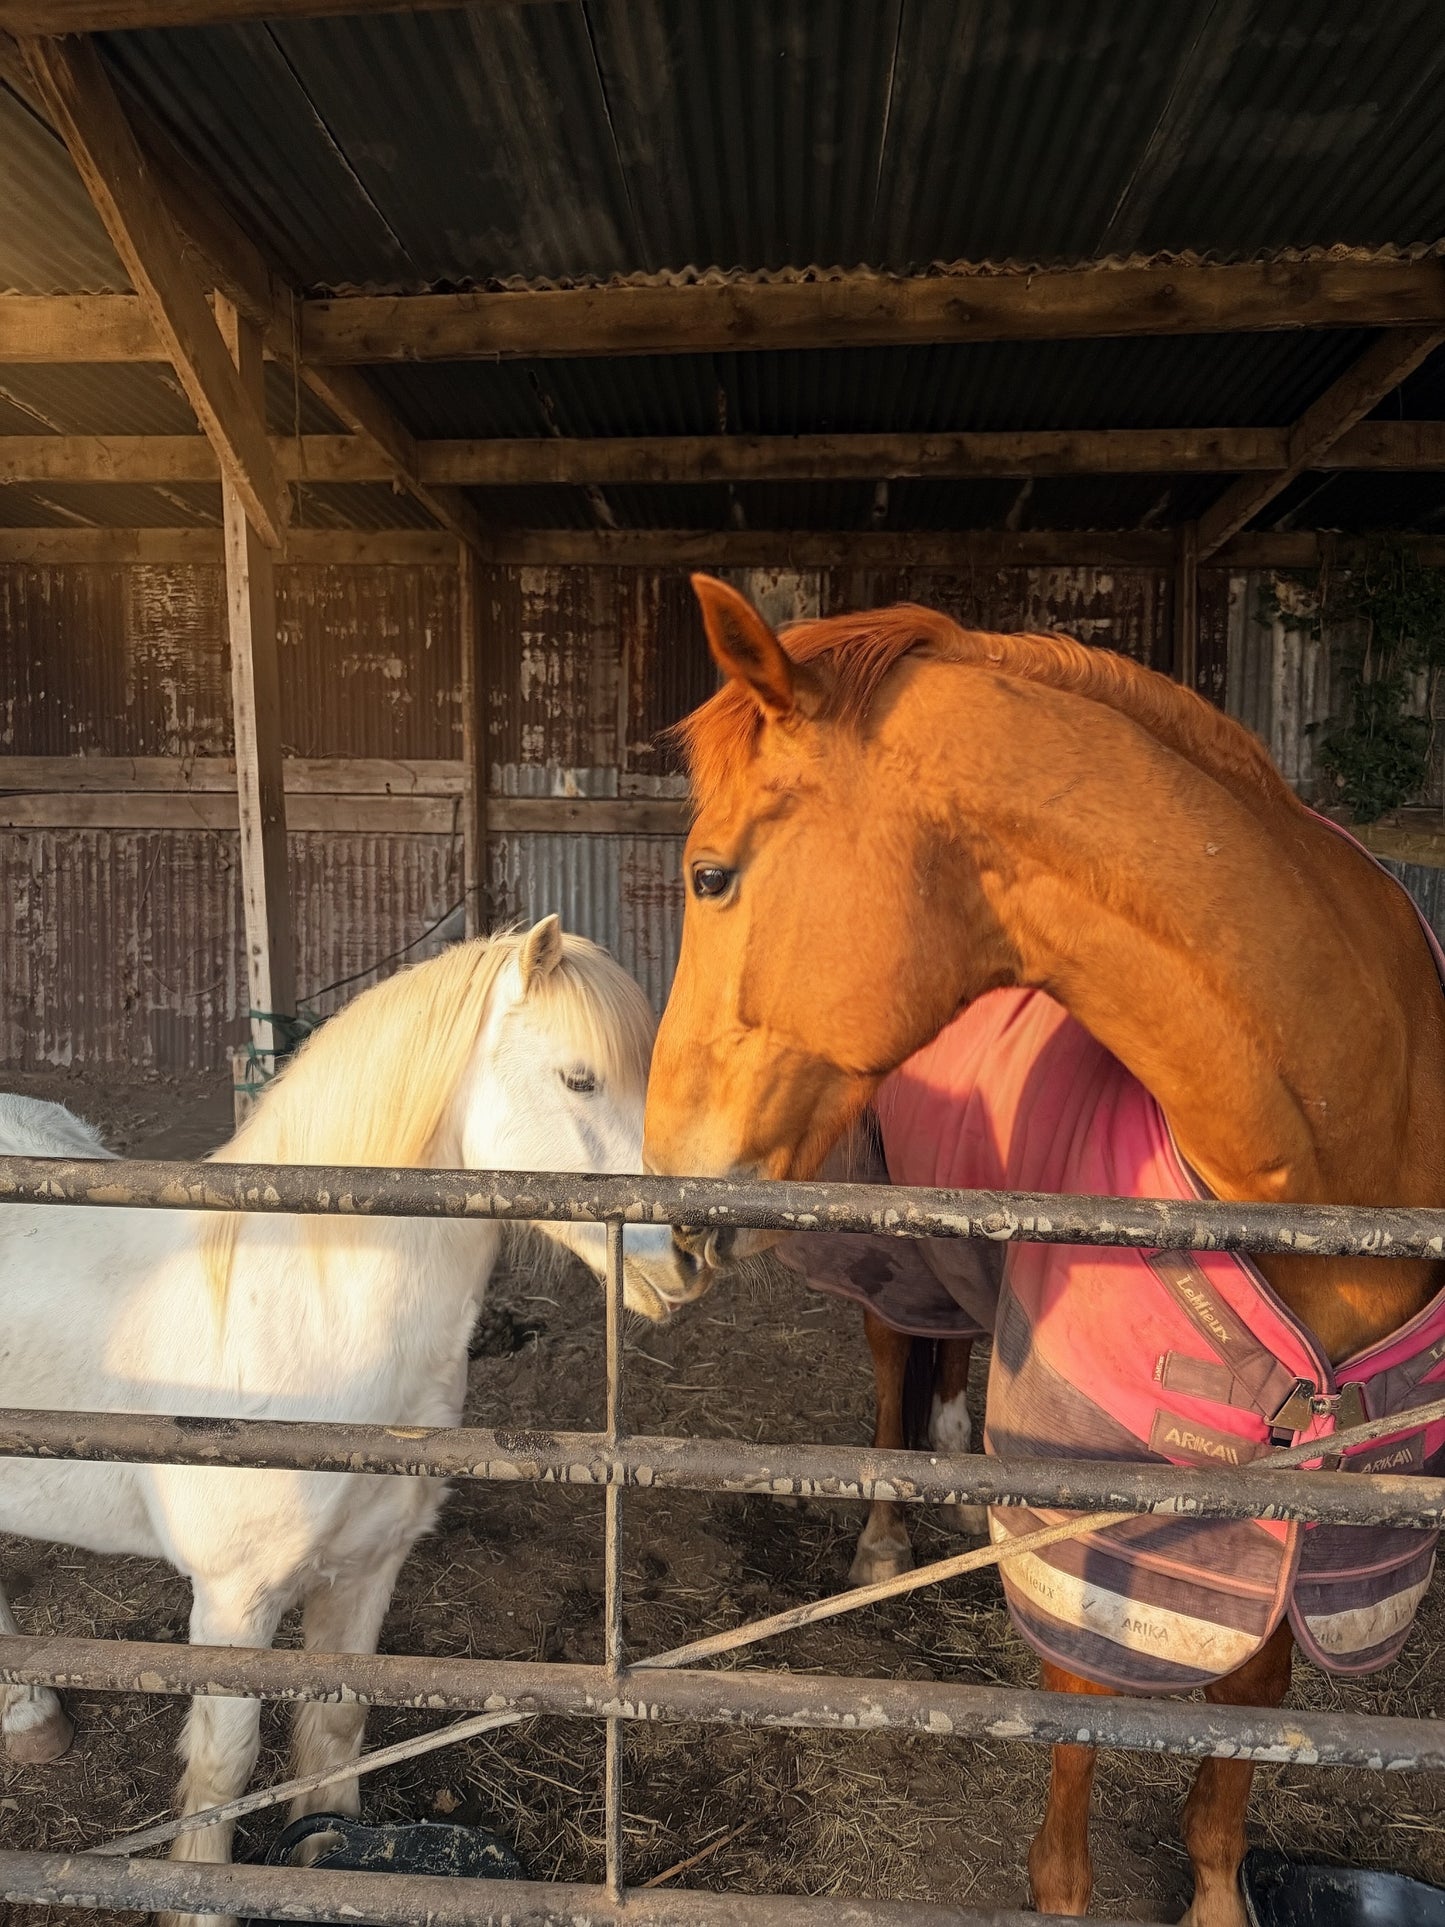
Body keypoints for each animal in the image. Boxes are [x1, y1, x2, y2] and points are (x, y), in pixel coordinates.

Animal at [0, 916, 691, 1927]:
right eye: (579, 1078)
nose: (692, 1248)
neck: (303, 1312)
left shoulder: (368, 1569)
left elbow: (334, 1727)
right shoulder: (233, 1602)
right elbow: (223, 1769)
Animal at [642, 575, 1445, 1926]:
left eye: (711, 874)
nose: (662, 1195)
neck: (1342, 1137)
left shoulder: (1314, 1515)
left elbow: (1245, 1718)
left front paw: (1215, 1892)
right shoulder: (1094, 1520)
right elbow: (1076, 1716)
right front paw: (1060, 1889)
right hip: (891, 1247)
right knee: (892, 1368)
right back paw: (886, 1529)